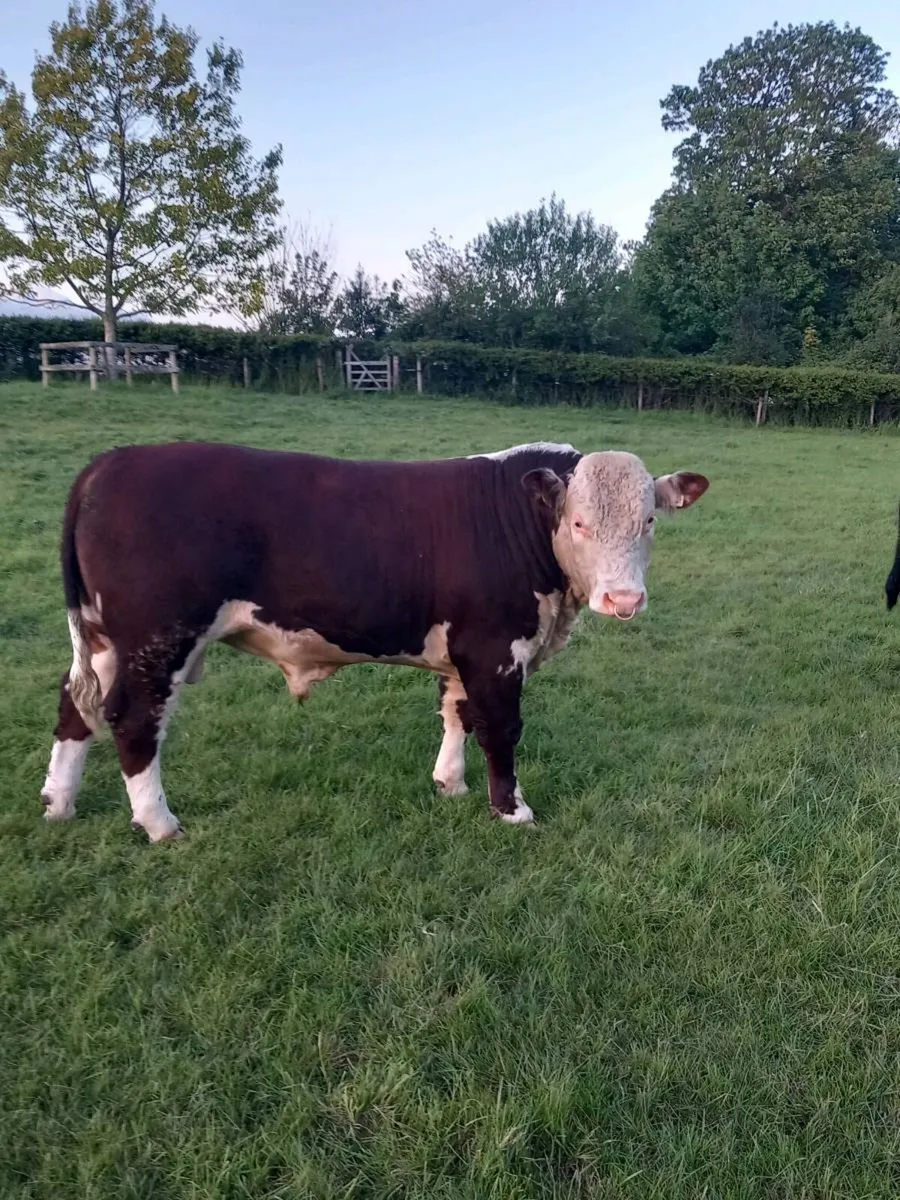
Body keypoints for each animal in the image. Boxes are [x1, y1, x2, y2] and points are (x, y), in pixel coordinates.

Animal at [40, 440, 709, 841]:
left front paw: (450, 784)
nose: (623, 600)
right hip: (158, 637)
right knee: (133, 719)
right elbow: (500, 728)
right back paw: (158, 822)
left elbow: (455, 713)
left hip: (105, 638)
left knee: (77, 705)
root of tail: (110, 462)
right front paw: (511, 808)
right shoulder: (494, 649)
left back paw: (59, 801)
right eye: (578, 521)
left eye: (649, 520)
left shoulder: (461, 649)